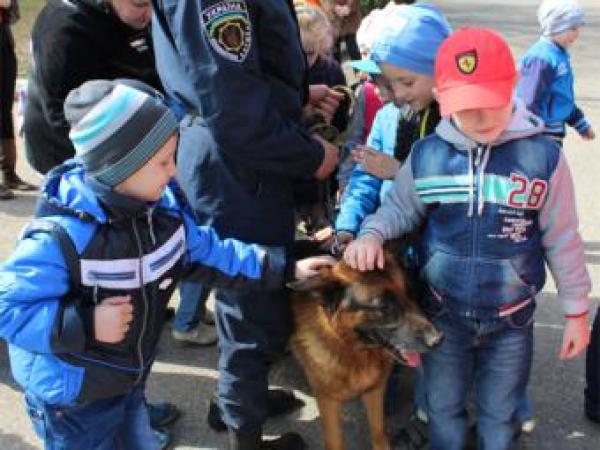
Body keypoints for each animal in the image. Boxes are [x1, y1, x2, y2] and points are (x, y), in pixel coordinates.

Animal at [288, 243, 442, 450]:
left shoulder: (375, 392)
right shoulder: (328, 402)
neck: (353, 350)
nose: (438, 339)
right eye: (384, 307)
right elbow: (336, 441)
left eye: (409, 293)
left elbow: (378, 431)